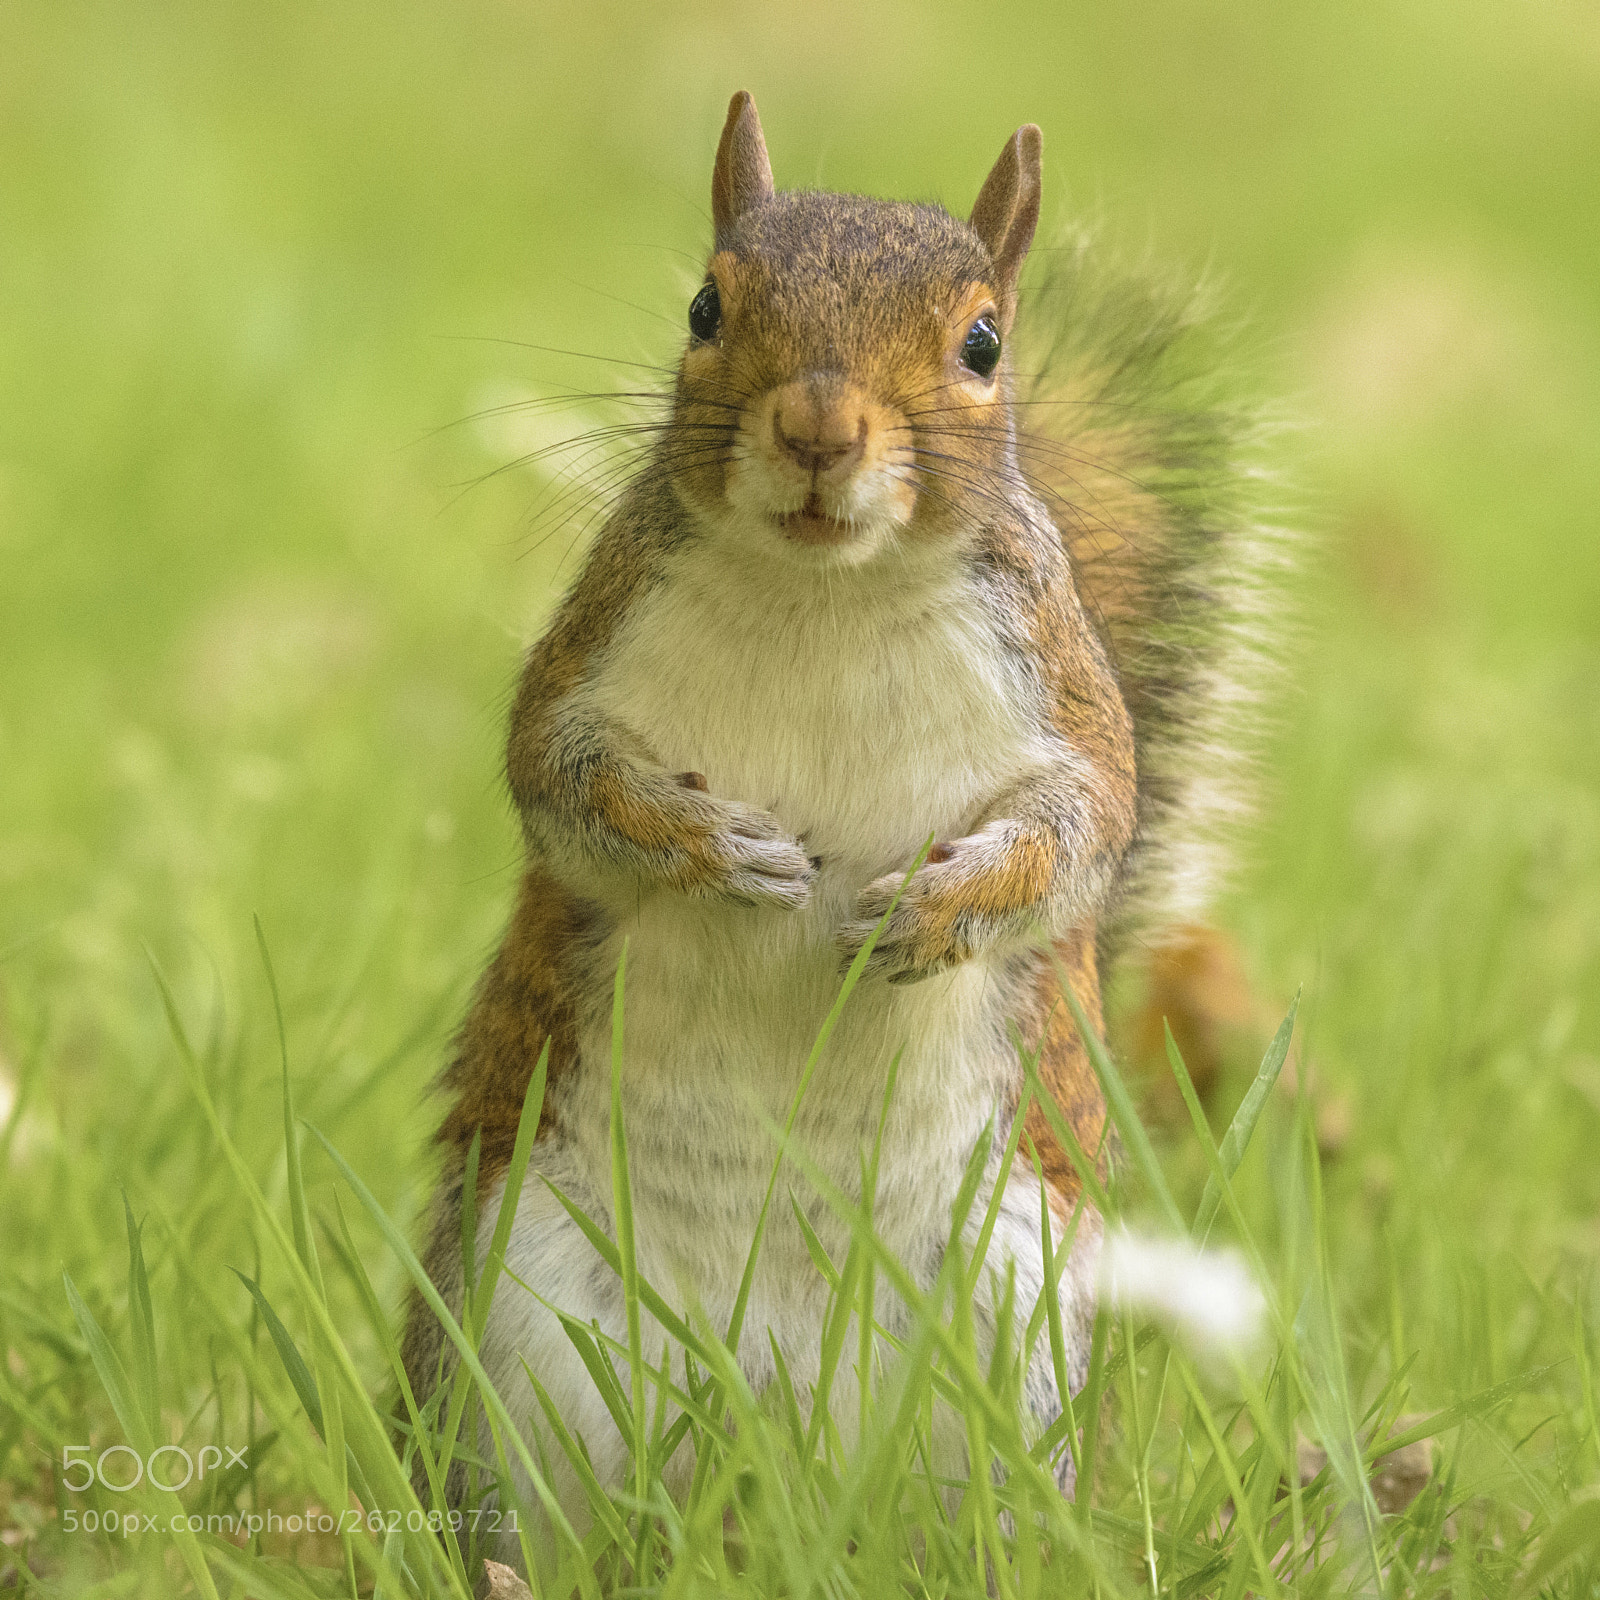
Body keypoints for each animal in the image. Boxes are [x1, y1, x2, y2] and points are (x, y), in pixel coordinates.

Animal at [400, 90, 1275, 1567]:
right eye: (706, 306)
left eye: (983, 343)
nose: (817, 428)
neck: (827, 588)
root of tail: (765, 1442)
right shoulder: (583, 666)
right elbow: (566, 788)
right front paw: (711, 848)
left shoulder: (1066, 708)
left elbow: (1078, 837)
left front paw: (939, 906)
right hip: (521, 1334)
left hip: (1011, 1346)